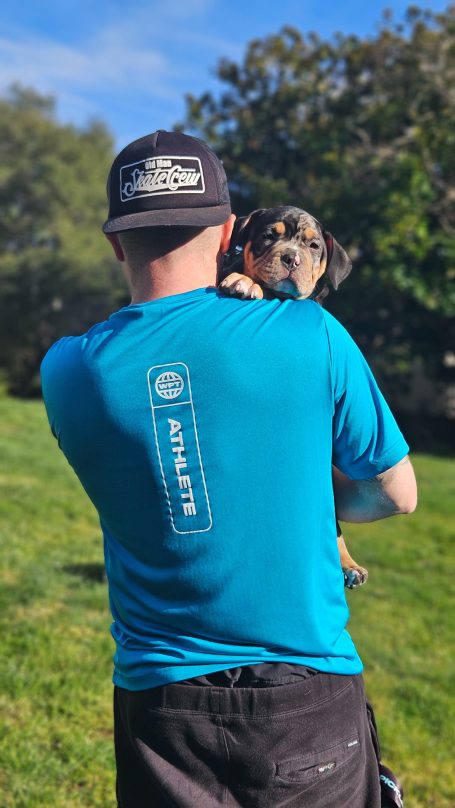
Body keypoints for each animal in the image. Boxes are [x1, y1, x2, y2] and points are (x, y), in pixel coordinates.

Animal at [220, 207, 366, 588]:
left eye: (314, 246)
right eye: (269, 236)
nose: (292, 258)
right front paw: (245, 280)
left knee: (335, 527)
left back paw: (349, 565)